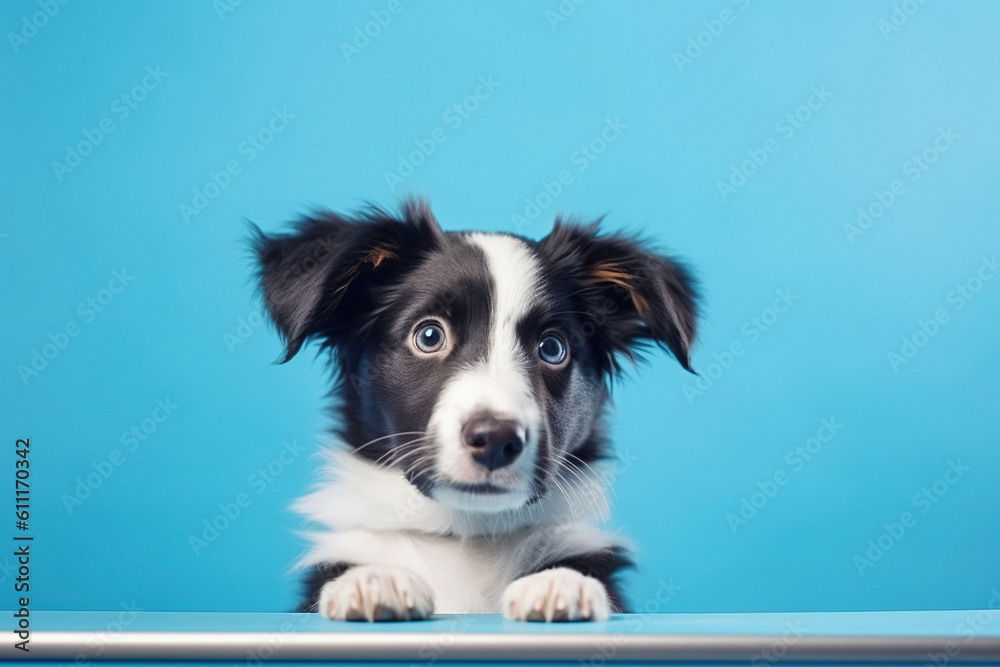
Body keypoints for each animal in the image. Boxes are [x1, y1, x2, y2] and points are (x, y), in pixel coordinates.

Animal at [254, 201, 700, 624]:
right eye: (428, 336)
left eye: (552, 347)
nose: (496, 440)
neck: (467, 534)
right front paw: (374, 579)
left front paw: (559, 583)